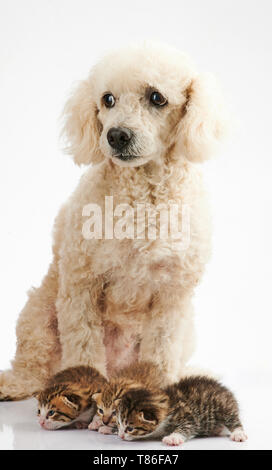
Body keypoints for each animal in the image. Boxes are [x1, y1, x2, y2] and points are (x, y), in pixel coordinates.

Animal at [116, 374, 248, 444]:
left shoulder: (189, 415)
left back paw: (238, 433)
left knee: (233, 419)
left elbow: (187, 426)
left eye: (130, 428)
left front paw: (173, 437)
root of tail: (224, 389)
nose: (120, 436)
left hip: (223, 405)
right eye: (118, 424)